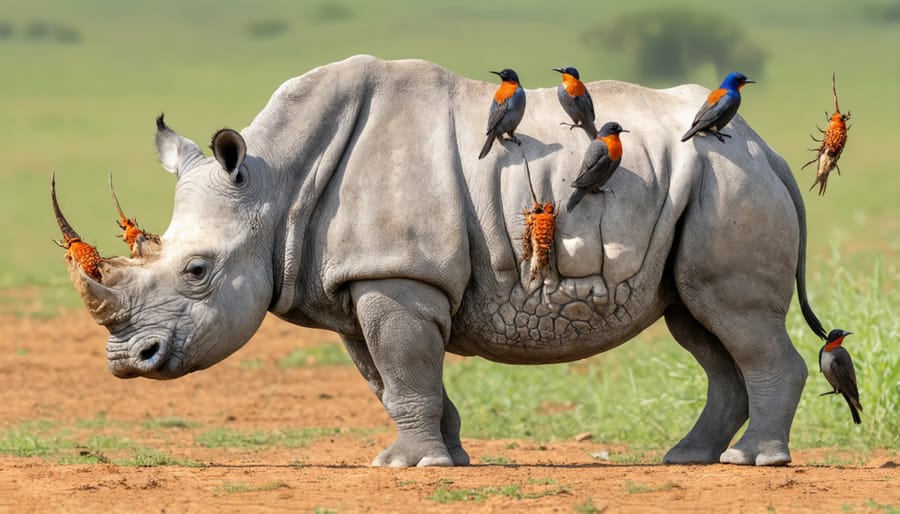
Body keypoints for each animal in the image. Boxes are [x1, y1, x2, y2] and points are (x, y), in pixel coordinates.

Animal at [53, 55, 831, 467]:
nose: (127, 361)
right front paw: (444, 458)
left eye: (197, 272)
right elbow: (390, 376)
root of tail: (766, 149)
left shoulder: (398, 274)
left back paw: (753, 461)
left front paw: (413, 466)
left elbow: (402, 369)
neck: (275, 183)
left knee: (733, 317)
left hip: (730, 185)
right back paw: (690, 459)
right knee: (701, 323)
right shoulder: (360, 280)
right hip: (709, 189)